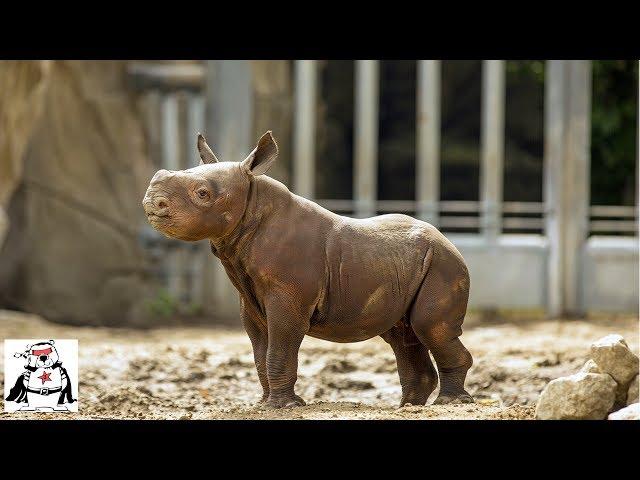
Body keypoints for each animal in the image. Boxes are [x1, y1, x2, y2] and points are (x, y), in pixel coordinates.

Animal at [145, 131, 476, 408]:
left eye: (202, 194)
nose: (152, 203)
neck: (251, 208)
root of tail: (449, 241)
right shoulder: (249, 300)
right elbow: (260, 351)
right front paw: (264, 405)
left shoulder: (288, 297)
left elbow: (279, 347)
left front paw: (285, 406)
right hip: (405, 265)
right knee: (402, 334)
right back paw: (407, 407)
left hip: (444, 264)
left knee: (429, 326)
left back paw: (450, 402)